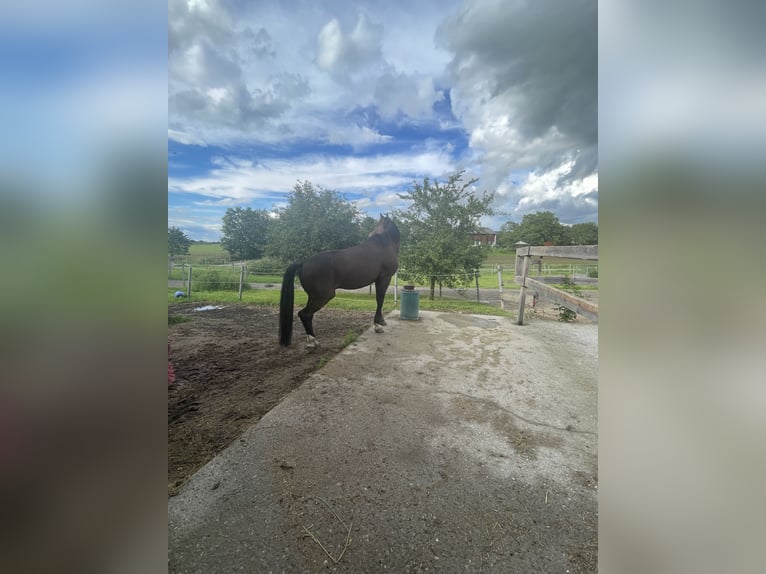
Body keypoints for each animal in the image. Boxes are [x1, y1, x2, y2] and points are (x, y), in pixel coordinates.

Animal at [280, 216, 402, 348]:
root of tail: (303, 263)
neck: (384, 245)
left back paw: (310, 340)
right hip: (324, 296)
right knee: (304, 314)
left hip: (312, 296)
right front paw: (379, 324)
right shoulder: (384, 278)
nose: (370, 233)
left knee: (308, 315)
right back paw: (313, 341)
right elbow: (380, 300)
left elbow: (379, 299)